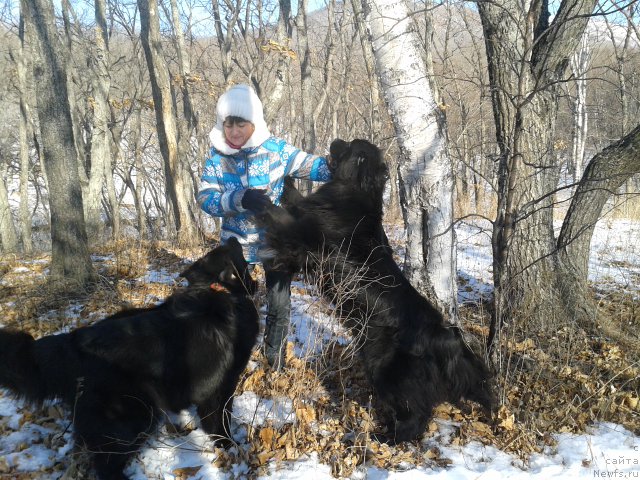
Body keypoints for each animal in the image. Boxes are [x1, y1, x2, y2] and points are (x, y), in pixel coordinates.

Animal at [1, 238, 260, 478]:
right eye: (231, 251)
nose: (232, 238)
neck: (218, 290)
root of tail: (71, 344)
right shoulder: (222, 386)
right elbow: (220, 420)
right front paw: (229, 446)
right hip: (131, 415)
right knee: (106, 465)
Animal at [250, 138, 496, 442]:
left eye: (349, 146)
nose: (335, 141)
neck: (353, 191)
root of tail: (446, 337)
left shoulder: (303, 238)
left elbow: (279, 215)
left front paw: (253, 196)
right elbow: (294, 199)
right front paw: (283, 178)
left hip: (385, 368)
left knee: (415, 417)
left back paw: (383, 438)